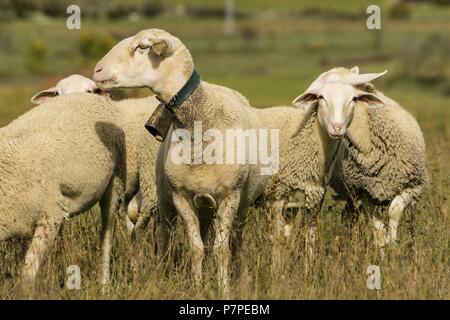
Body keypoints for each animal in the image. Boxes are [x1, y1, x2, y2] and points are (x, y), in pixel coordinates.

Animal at [93, 28, 272, 294]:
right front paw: (198, 287)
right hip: (166, 199)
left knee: (235, 241)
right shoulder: (181, 196)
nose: (97, 70)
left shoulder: (230, 195)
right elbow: (196, 247)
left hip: (239, 204)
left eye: (143, 47)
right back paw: (161, 270)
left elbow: (221, 249)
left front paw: (224, 288)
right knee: (164, 238)